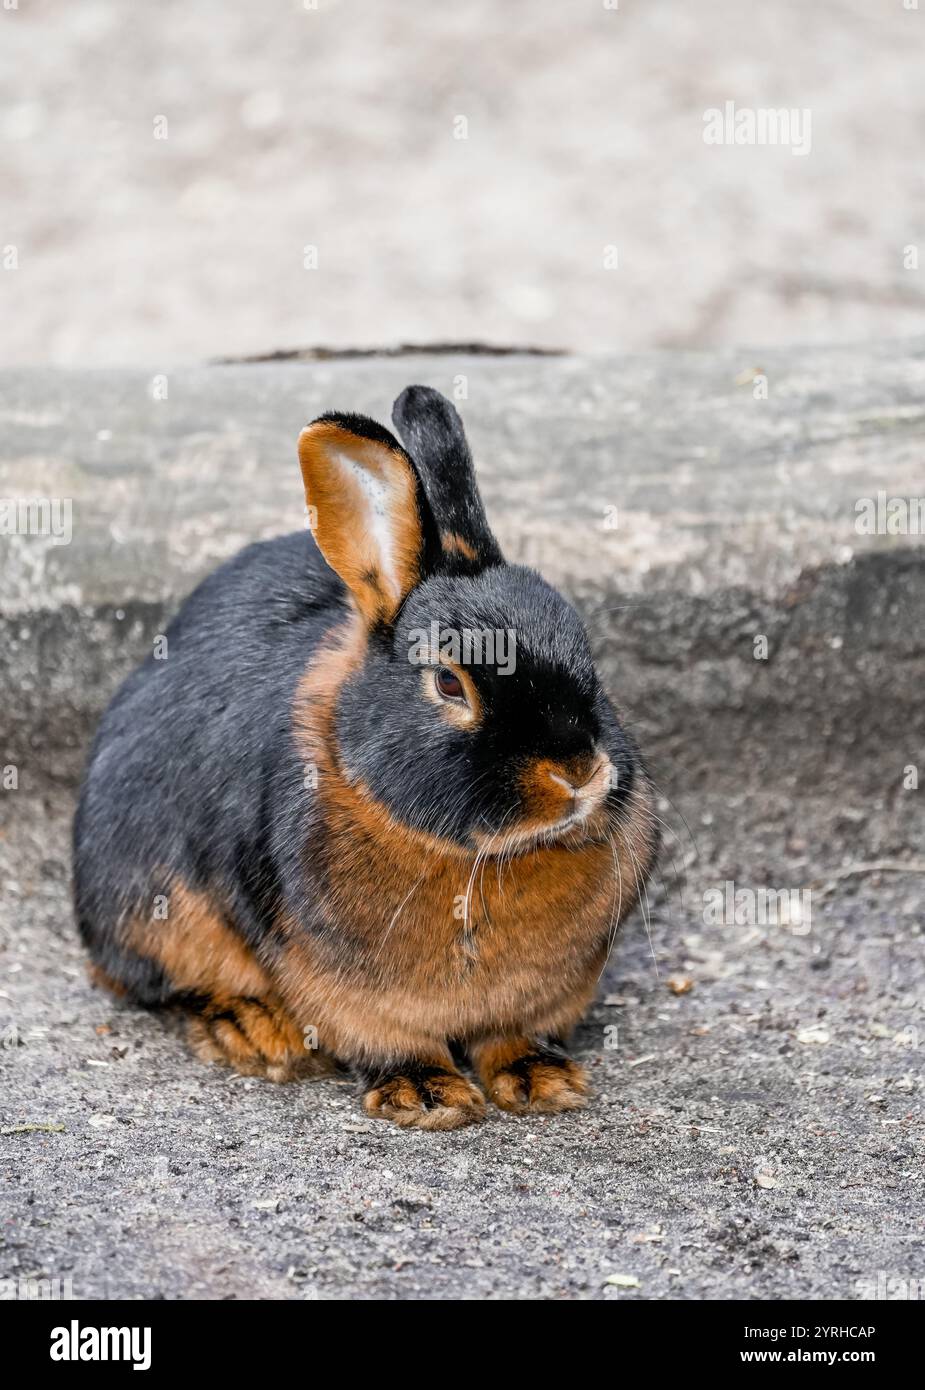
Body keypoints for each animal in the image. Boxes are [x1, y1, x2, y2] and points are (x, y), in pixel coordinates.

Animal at [73, 385, 659, 1130]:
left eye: (588, 658)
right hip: (150, 908)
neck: (473, 859)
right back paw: (254, 1031)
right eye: (448, 683)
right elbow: (390, 1041)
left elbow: (512, 1038)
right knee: (167, 985)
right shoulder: (336, 985)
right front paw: (428, 1097)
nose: (580, 771)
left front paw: (542, 1081)